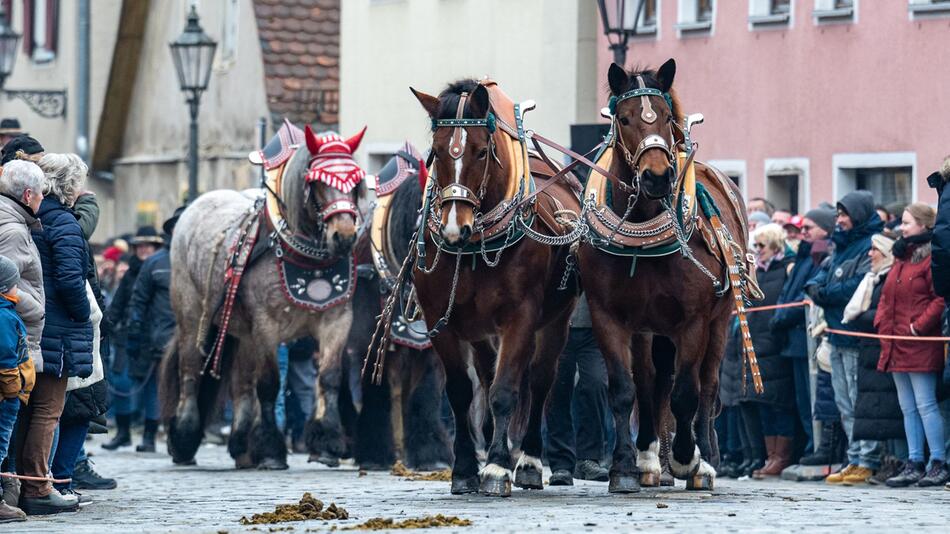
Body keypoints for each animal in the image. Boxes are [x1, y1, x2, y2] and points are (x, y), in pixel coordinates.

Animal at [160, 123, 368, 472]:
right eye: (317, 183)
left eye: (355, 183)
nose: (344, 236)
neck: (305, 257)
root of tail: (193, 207)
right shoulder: (267, 326)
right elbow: (270, 385)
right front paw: (272, 451)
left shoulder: (336, 320)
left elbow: (329, 378)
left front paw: (328, 442)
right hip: (192, 315)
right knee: (190, 370)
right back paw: (186, 437)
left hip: (241, 331)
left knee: (242, 386)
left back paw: (243, 445)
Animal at [412, 79, 584, 498]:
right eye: (436, 150)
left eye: (480, 150)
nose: (454, 228)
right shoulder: (440, 320)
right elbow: (461, 392)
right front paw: (464, 470)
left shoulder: (520, 317)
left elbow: (506, 391)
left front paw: (496, 467)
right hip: (478, 330)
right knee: (486, 375)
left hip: (556, 321)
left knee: (538, 381)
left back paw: (528, 461)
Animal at [576, 60, 764, 492]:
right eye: (624, 118)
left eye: (664, 116)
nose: (658, 177)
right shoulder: (611, 317)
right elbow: (627, 389)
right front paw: (627, 466)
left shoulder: (693, 320)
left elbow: (686, 393)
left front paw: (686, 458)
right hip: (652, 329)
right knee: (654, 383)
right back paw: (651, 461)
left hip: (719, 322)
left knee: (707, 385)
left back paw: (703, 462)